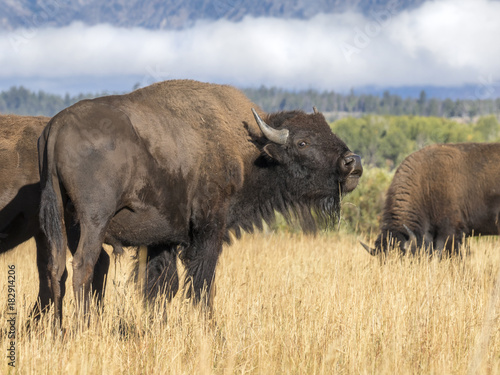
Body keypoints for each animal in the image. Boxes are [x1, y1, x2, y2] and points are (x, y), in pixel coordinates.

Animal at [37, 80, 362, 324]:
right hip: (94, 221)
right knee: (83, 266)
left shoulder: (163, 239)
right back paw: (82, 328)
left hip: (62, 220)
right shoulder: (208, 230)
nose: (352, 163)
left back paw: (59, 330)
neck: (249, 150)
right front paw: (209, 328)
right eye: (302, 142)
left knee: (56, 268)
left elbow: (161, 287)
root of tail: (57, 125)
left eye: (330, 131)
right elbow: (201, 284)